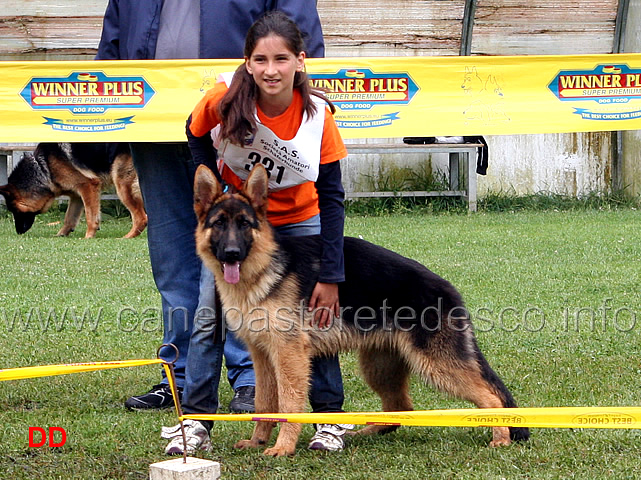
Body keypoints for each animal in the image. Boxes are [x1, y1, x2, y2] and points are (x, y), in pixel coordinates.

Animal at [0, 142, 146, 240]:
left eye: (15, 211)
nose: (18, 232)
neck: (44, 167)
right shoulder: (77, 196)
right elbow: (69, 218)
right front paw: (60, 235)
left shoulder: (88, 186)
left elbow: (90, 216)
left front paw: (88, 237)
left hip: (122, 185)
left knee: (142, 218)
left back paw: (127, 237)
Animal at [194, 164, 528, 454]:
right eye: (219, 223)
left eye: (244, 224)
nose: (231, 254)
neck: (264, 267)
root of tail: (449, 289)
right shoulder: (263, 356)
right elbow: (265, 404)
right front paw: (257, 441)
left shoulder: (289, 356)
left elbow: (289, 404)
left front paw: (283, 447)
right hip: (379, 367)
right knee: (400, 408)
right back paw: (365, 431)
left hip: (436, 365)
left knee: (490, 398)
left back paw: (501, 438)